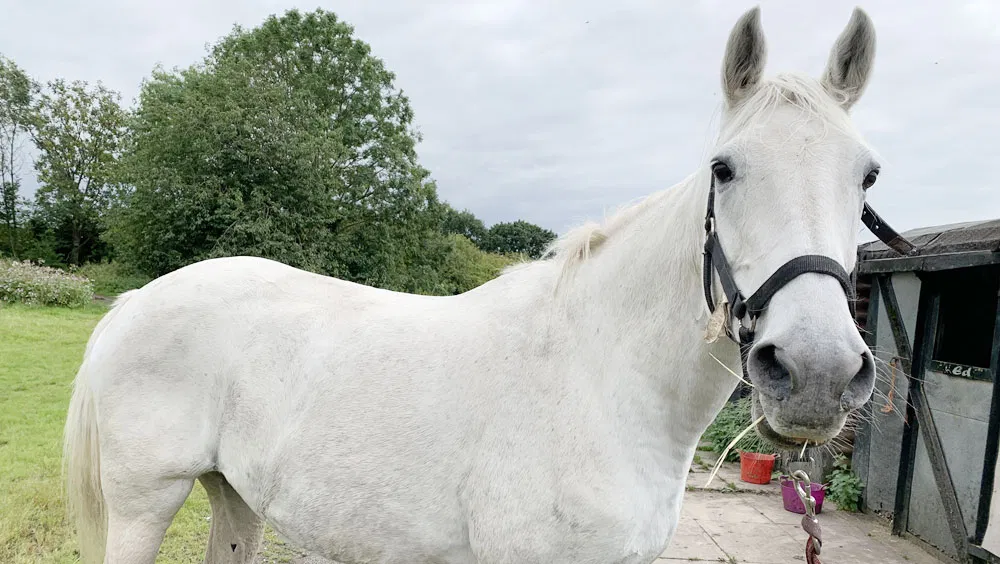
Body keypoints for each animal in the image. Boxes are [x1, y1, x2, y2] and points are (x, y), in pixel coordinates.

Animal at [64, 6, 889, 563]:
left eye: (868, 176)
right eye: (725, 168)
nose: (815, 372)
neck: (603, 382)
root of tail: (134, 305)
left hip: (234, 495)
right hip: (146, 506)